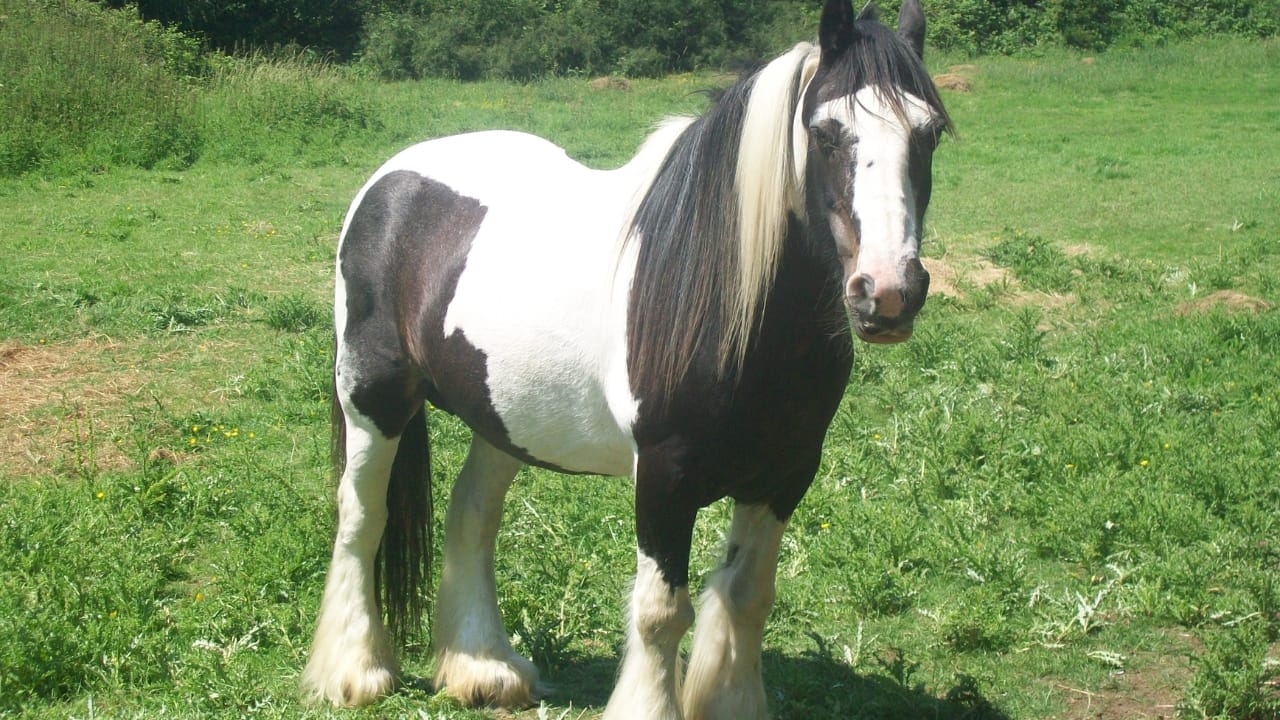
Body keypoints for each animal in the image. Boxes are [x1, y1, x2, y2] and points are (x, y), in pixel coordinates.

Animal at [302, 1, 950, 717]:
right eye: (828, 131)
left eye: (930, 133)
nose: (886, 292)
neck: (725, 299)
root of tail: (390, 180)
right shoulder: (665, 477)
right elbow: (661, 613)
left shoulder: (783, 476)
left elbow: (747, 598)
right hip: (374, 399)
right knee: (362, 516)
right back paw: (354, 672)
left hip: (502, 418)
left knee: (471, 513)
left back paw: (485, 668)